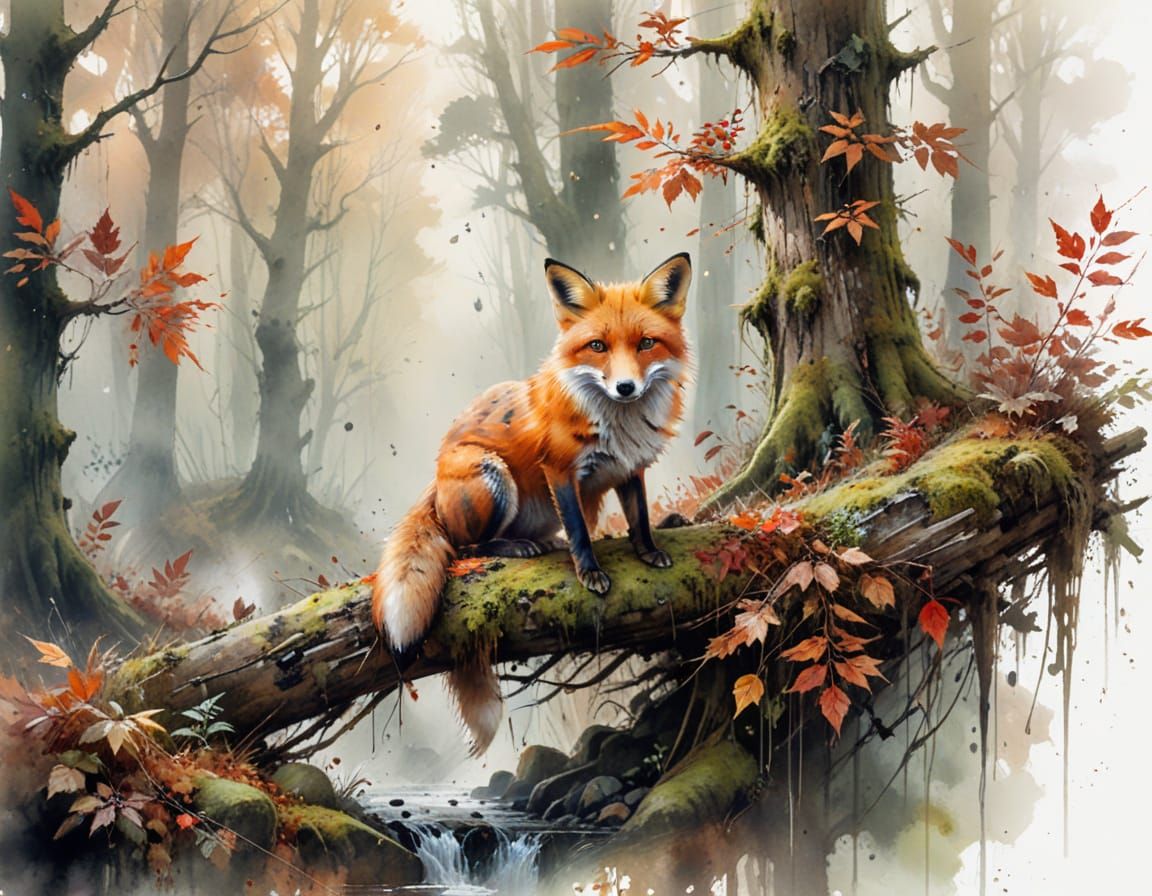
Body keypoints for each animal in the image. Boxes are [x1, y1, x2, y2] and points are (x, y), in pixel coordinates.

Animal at [371, 252, 692, 754]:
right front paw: (590, 574)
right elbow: (580, 531)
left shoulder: (629, 468)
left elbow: (639, 517)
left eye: (646, 343)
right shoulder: (560, 470)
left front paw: (648, 550)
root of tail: (437, 473)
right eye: (597, 346)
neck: (618, 424)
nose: (625, 387)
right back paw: (517, 548)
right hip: (492, 477)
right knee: (466, 549)